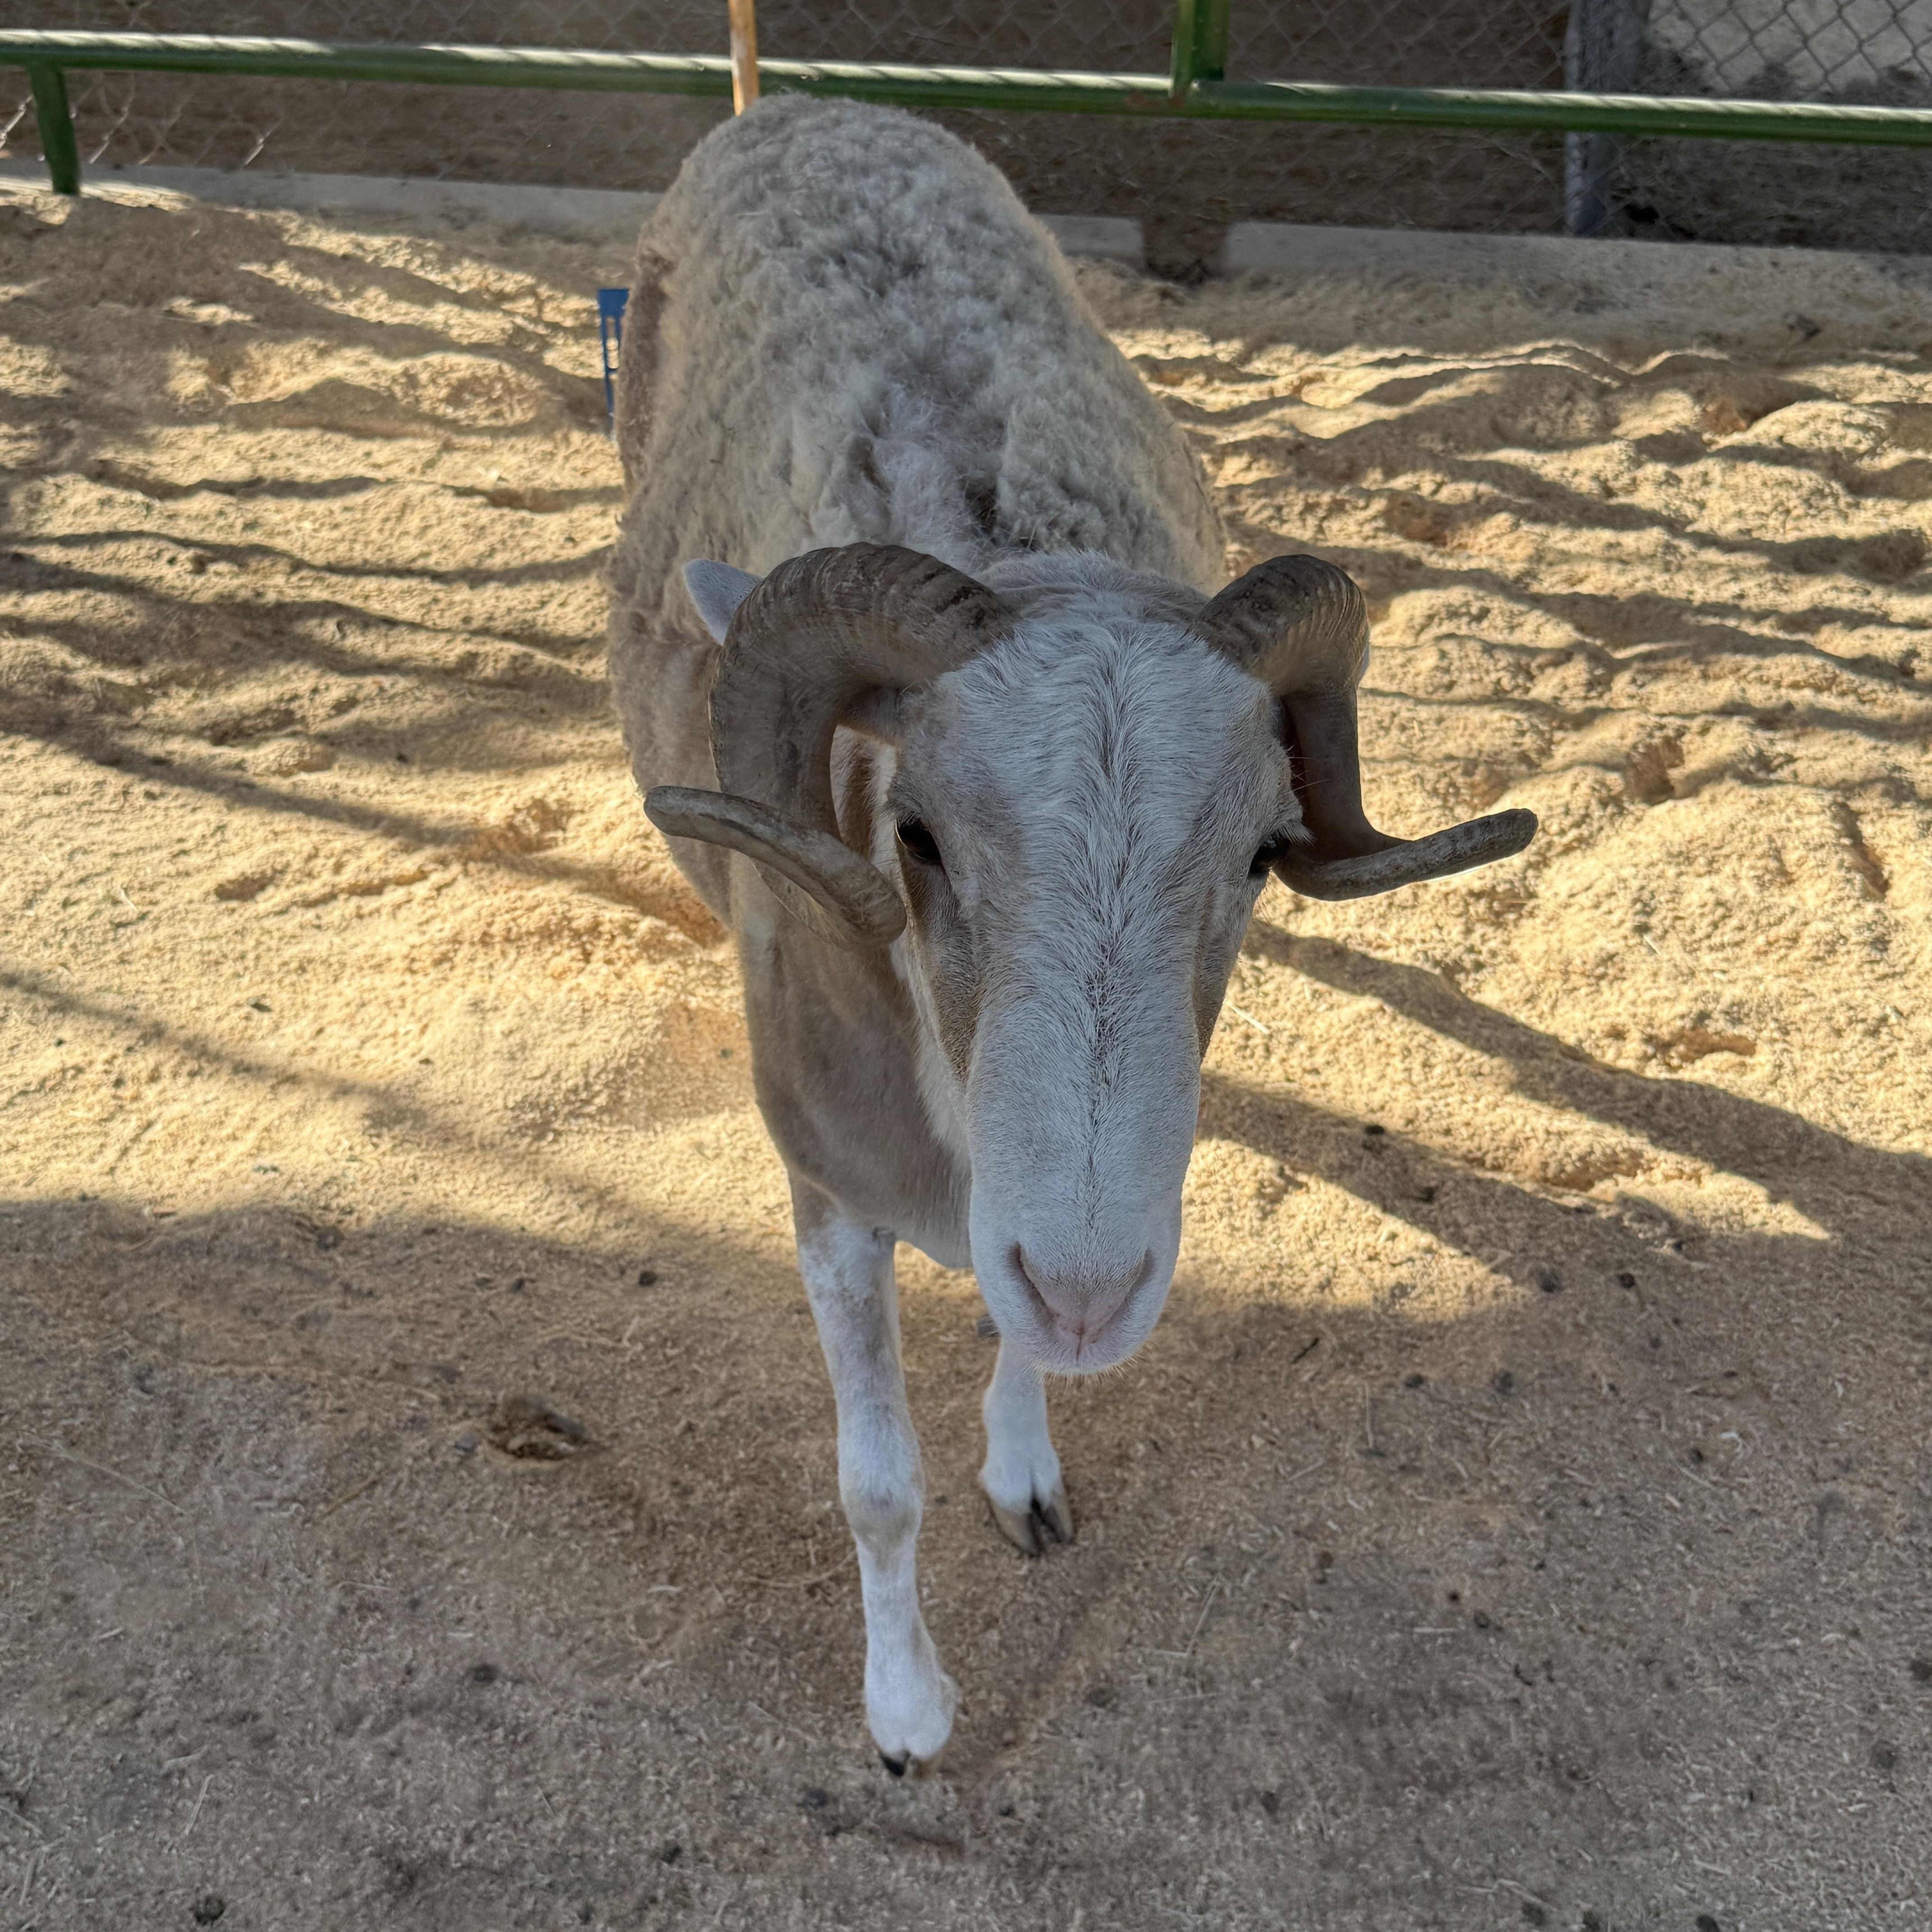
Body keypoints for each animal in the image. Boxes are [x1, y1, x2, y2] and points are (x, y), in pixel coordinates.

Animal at [606, 95, 1534, 1775]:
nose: (1108, 1292)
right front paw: (907, 1712)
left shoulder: (1034, 1223)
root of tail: (799, 104)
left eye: (1261, 854)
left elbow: (1017, 1323)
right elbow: (874, 1487)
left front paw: (1025, 1469)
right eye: (912, 835)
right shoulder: (827, 1183)